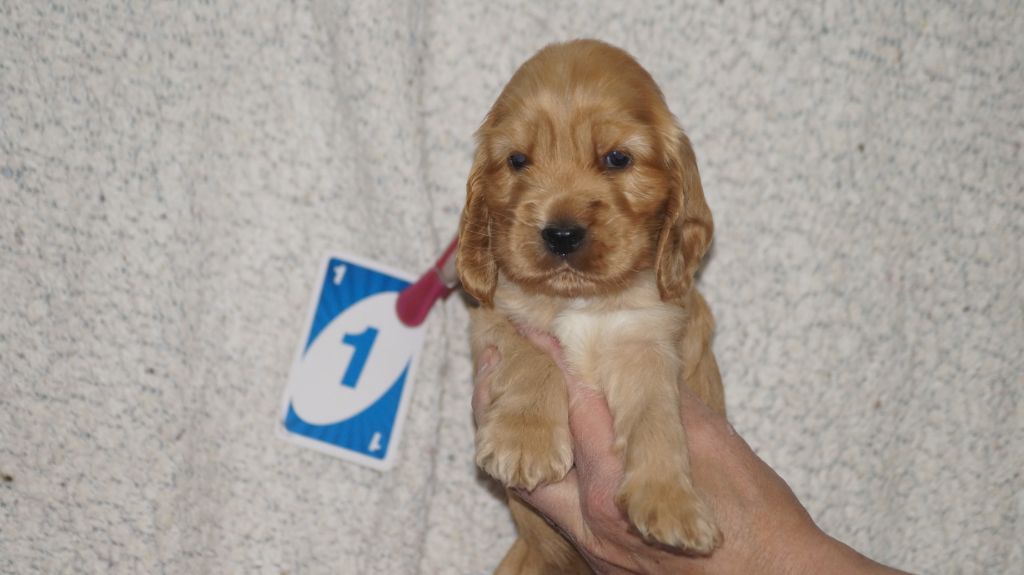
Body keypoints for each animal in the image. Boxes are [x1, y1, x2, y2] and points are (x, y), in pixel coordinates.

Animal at [456, 40, 729, 572]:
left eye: (617, 158)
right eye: (517, 160)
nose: (561, 234)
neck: (581, 298)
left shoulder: (648, 338)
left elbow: (657, 414)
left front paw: (671, 501)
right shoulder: (495, 318)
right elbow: (534, 355)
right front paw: (525, 440)